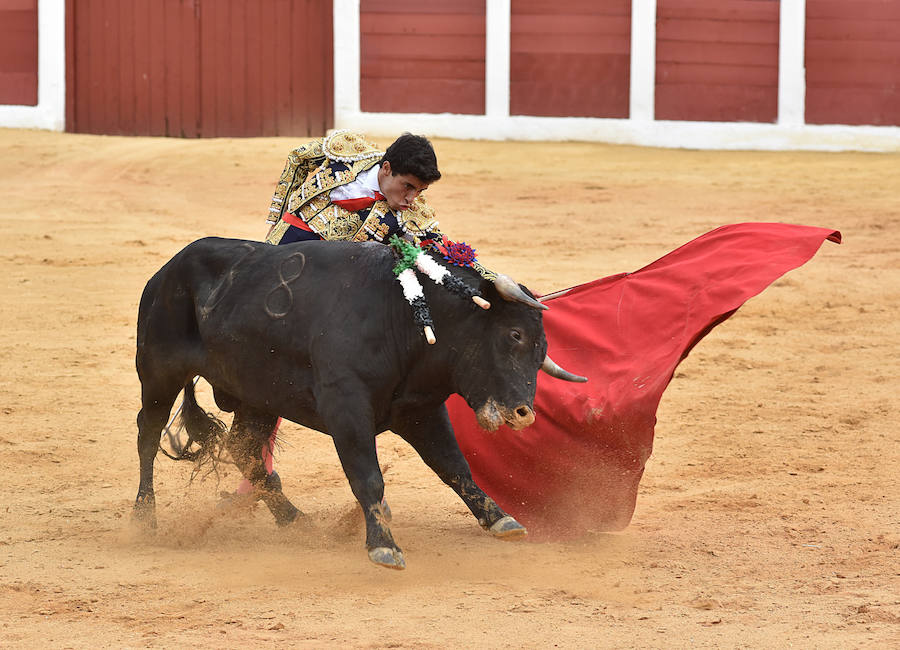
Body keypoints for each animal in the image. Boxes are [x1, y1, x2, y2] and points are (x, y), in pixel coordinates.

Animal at [132, 238, 584, 568]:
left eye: (543, 346)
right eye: (514, 335)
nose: (523, 414)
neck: (404, 315)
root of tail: (168, 269)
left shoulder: (420, 411)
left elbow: (454, 466)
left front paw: (501, 519)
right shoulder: (346, 407)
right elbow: (367, 476)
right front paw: (384, 546)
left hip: (255, 396)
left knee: (244, 450)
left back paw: (296, 521)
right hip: (158, 373)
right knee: (148, 436)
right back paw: (143, 517)